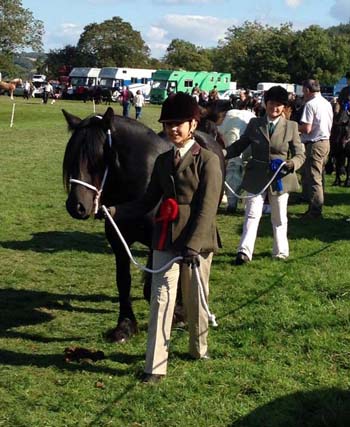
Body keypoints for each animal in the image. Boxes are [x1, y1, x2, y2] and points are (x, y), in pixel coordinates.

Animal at [62, 107, 227, 344]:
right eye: (72, 157)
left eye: (100, 158)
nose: (76, 206)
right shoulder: (119, 243)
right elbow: (123, 281)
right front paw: (124, 326)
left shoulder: (158, 242)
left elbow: (154, 285)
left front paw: (176, 315)